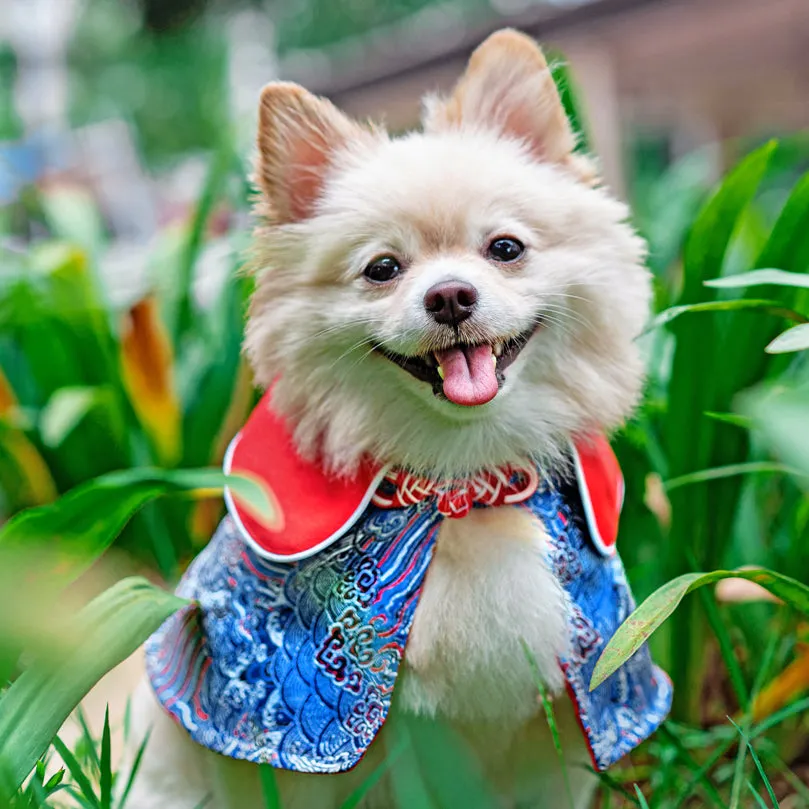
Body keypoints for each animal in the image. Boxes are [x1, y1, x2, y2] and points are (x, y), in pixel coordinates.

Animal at [123, 28, 668, 808]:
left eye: (505, 249)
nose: (449, 296)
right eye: (382, 268)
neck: (464, 486)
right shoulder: (389, 730)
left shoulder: (569, 699)